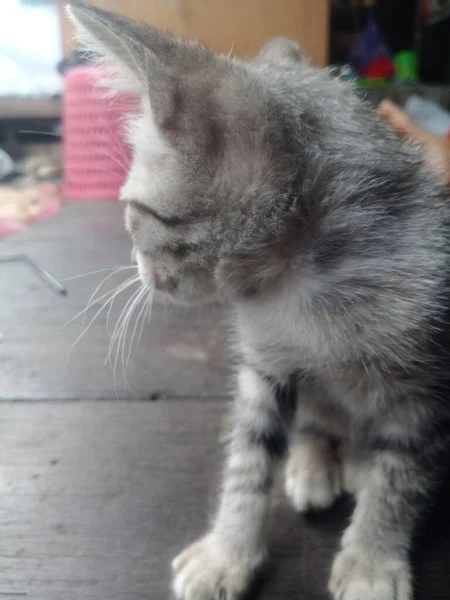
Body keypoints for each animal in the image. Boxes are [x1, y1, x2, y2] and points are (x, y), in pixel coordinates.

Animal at [68, 2, 450, 596]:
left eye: (134, 210)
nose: (138, 269)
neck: (302, 289)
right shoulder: (263, 367)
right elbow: (248, 457)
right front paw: (227, 553)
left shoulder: (424, 393)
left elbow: (399, 477)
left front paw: (371, 560)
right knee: (317, 419)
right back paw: (314, 464)